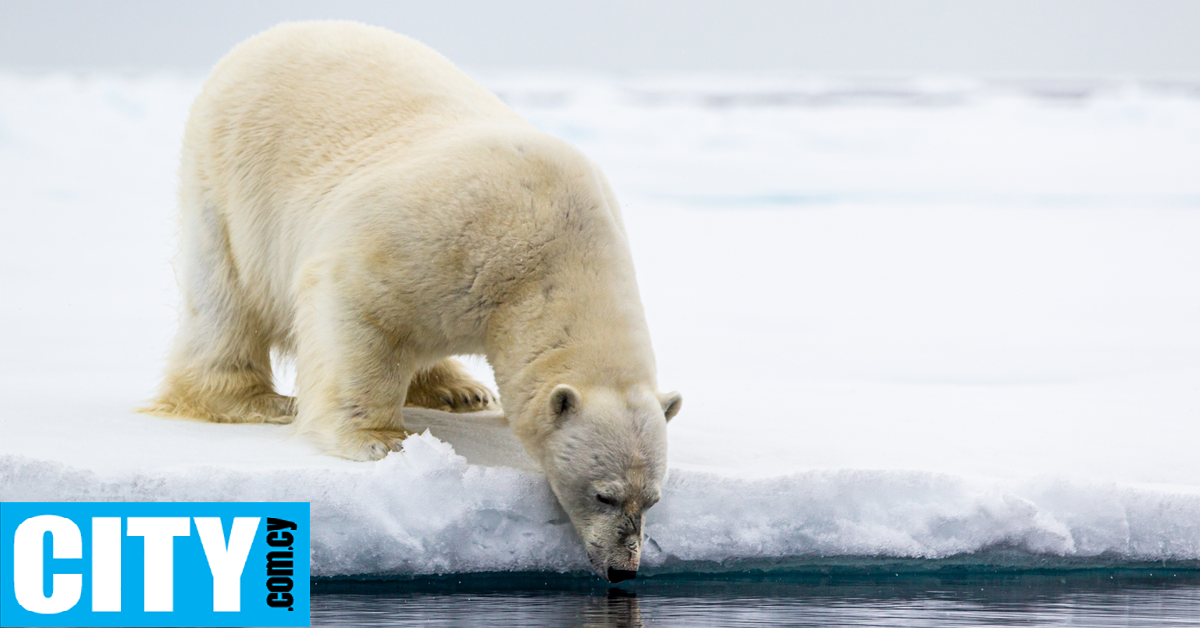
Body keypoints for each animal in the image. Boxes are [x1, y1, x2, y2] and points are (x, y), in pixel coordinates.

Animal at [145, 24, 681, 585]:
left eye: (653, 500)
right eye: (605, 495)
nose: (624, 568)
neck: (556, 259)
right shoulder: (443, 237)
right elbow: (355, 303)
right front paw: (382, 440)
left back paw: (460, 390)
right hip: (233, 178)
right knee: (224, 298)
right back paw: (257, 399)